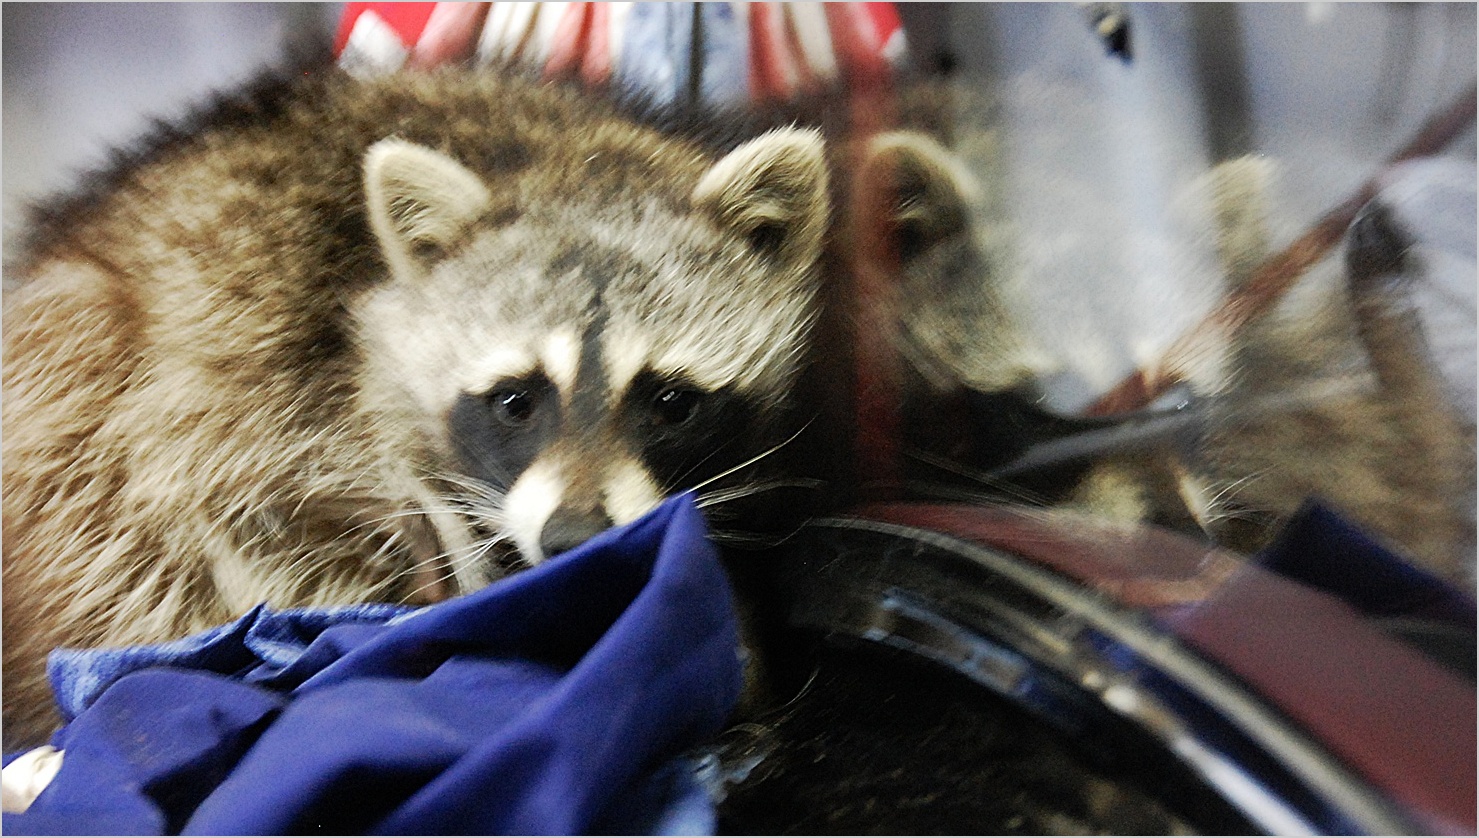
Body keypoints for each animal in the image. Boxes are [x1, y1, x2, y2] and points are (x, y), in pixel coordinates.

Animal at [0, 67, 834, 747]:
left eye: (669, 401)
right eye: (514, 401)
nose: (574, 537)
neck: (560, 156)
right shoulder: (266, 376)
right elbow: (267, 522)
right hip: (76, 388)